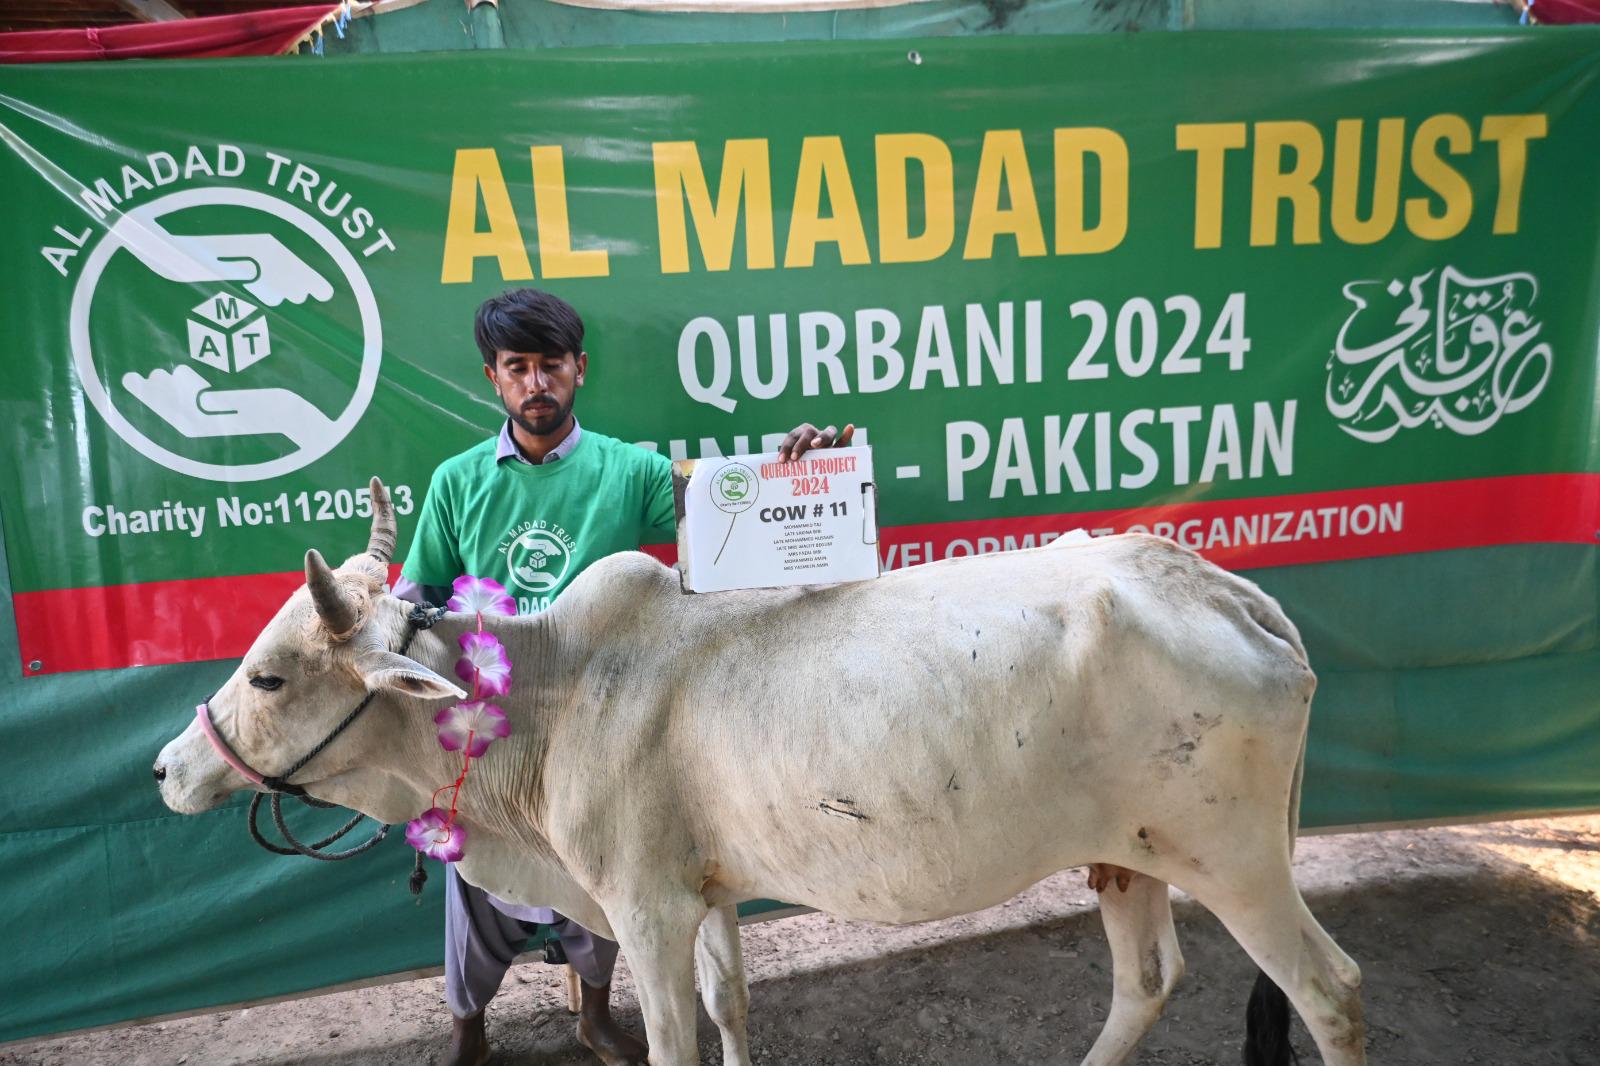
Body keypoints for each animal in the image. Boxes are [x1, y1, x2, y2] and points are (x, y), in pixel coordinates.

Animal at [156, 479, 1366, 1066]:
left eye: (268, 675)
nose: (167, 768)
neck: (553, 694)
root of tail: (1219, 584)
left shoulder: (643, 908)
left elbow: (672, 1043)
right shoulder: (707, 895)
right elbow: (731, 1004)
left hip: (1237, 860)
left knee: (1331, 992)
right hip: (1129, 856)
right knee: (1146, 981)